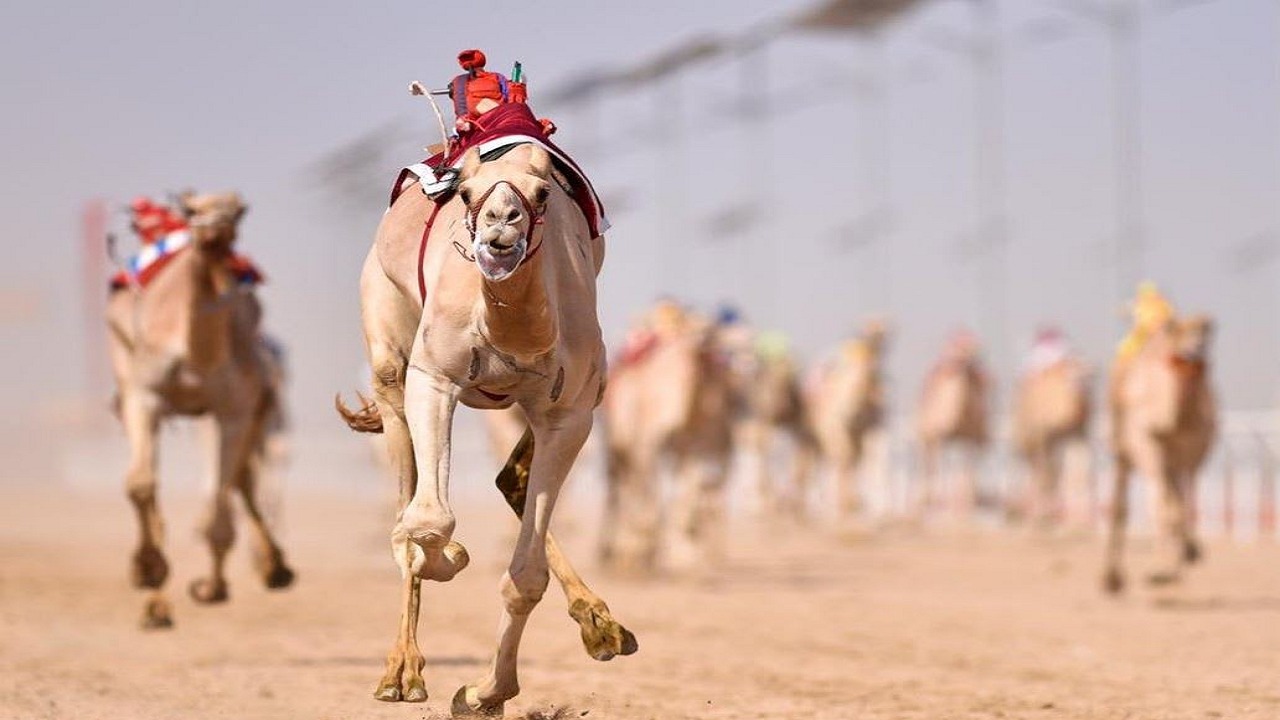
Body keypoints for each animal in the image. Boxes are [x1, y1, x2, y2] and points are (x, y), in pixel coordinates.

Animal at [105, 190, 294, 627]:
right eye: (193, 210)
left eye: (239, 212)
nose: (212, 234)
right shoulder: (144, 396)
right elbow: (139, 484)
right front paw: (146, 570)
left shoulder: (234, 408)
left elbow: (224, 494)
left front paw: (212, 588)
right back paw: (156, 603)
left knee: (241, 481)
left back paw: (272, 568)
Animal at [337, 137, 637, 707]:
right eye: (467, 192)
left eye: (543, 194)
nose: (501, 228)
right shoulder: (434, 378)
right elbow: (427, 521)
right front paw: (451, 558)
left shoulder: (570, 412)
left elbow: (525, 576)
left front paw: (486, 693)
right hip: (386, 351)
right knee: (407, 496)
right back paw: (400, 673)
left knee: (509, 479)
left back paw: (601, 626)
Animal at [604, 302, 737, 571]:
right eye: (696, 325)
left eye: (710, 326)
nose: (705, 334)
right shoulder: (648, 443)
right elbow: (651, 496)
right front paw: (643, 547)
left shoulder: (692, 446)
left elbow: (689, 492)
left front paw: (685, 549)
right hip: (615, 442)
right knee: (619, 487)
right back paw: (615, 551)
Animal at [1100, 312, 1218, 589]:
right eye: (1180, 333)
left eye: (1204, 333)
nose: (1195, 350)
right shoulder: (1146, 443)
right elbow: (1160, 505)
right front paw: (1159, 571)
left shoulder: (1195, 451)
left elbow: (1184, 502)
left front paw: (1189, 552)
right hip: (1124, 449)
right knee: (1122, 504)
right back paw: (1112, 578)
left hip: (1171, 462)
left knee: (1175, 498)